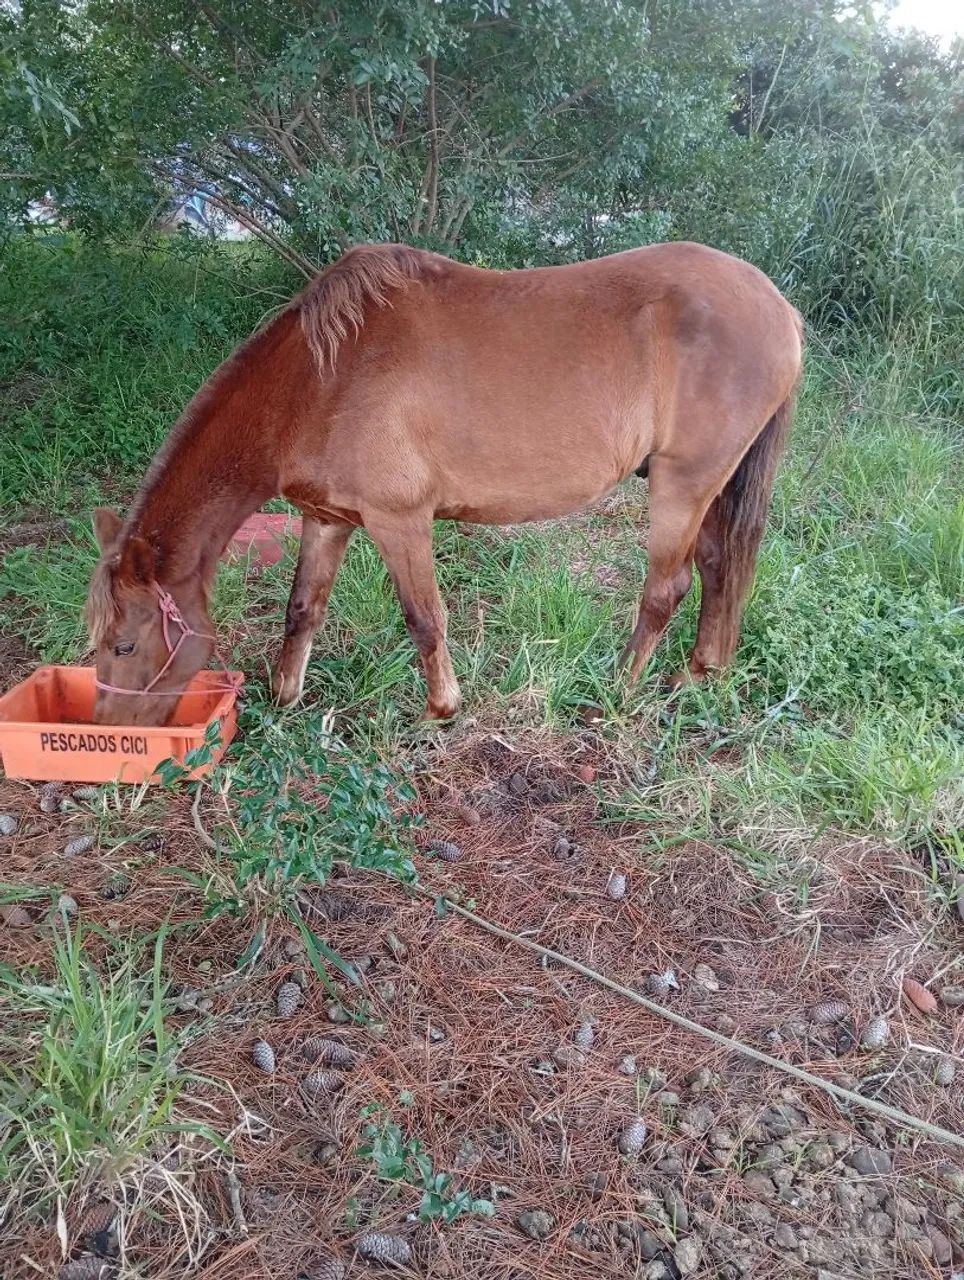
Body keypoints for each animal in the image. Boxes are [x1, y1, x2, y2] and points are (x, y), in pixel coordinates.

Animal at [86, 241, 804, 726]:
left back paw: (620, 694)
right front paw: (284, 696)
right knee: (718, 568)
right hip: (713, 488)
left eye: (125, 643)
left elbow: (425, 618)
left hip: (683, 485)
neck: (321, 379)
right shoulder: (329, 520)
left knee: (666, 589)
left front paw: (441, 708)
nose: (111, 736)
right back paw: (698, 676)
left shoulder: (400, 521)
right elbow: (302, 609)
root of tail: (779, 309)